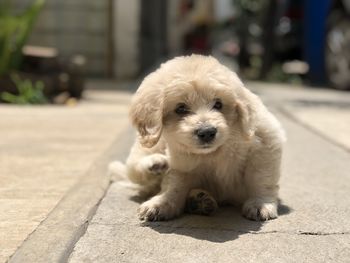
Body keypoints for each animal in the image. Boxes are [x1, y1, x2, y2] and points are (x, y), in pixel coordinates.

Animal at [125, 55, 284, 223]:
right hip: (149, 148)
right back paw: (156, 165)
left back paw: (199, 200)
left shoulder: (265, 143)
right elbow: (174, 184)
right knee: (135, 170)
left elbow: (261, 178)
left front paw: (260, 204)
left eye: (218, 104)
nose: (207, 132)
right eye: (181, 108)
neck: (216, 151)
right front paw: (162, 203)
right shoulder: (181, 163)